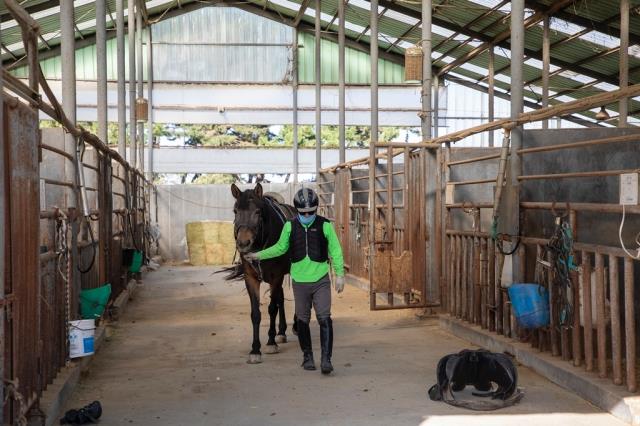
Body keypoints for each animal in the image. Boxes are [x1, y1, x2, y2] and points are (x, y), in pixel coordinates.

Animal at [224, 182, 296, 362]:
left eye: (257, 211)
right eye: (235, 211)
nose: (243, 243)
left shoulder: (276, 276)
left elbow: (271, 309)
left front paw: (270, 343)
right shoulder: (251, 278)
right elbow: (256, 313)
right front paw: (255, 350)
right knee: (281, 299)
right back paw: (281, 332)